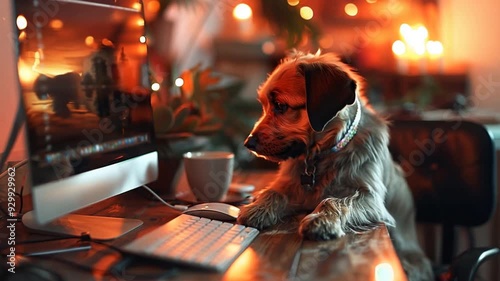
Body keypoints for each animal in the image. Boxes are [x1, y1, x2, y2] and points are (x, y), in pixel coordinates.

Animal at [238, 50, 434, 280]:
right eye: (265, 105)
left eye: (280, 106)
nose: (248, 143)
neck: (321, 156)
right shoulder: (288, 183)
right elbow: (273, 191)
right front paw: (257, 207)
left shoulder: (370, 197)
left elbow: (334, 200)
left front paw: (321, 221)